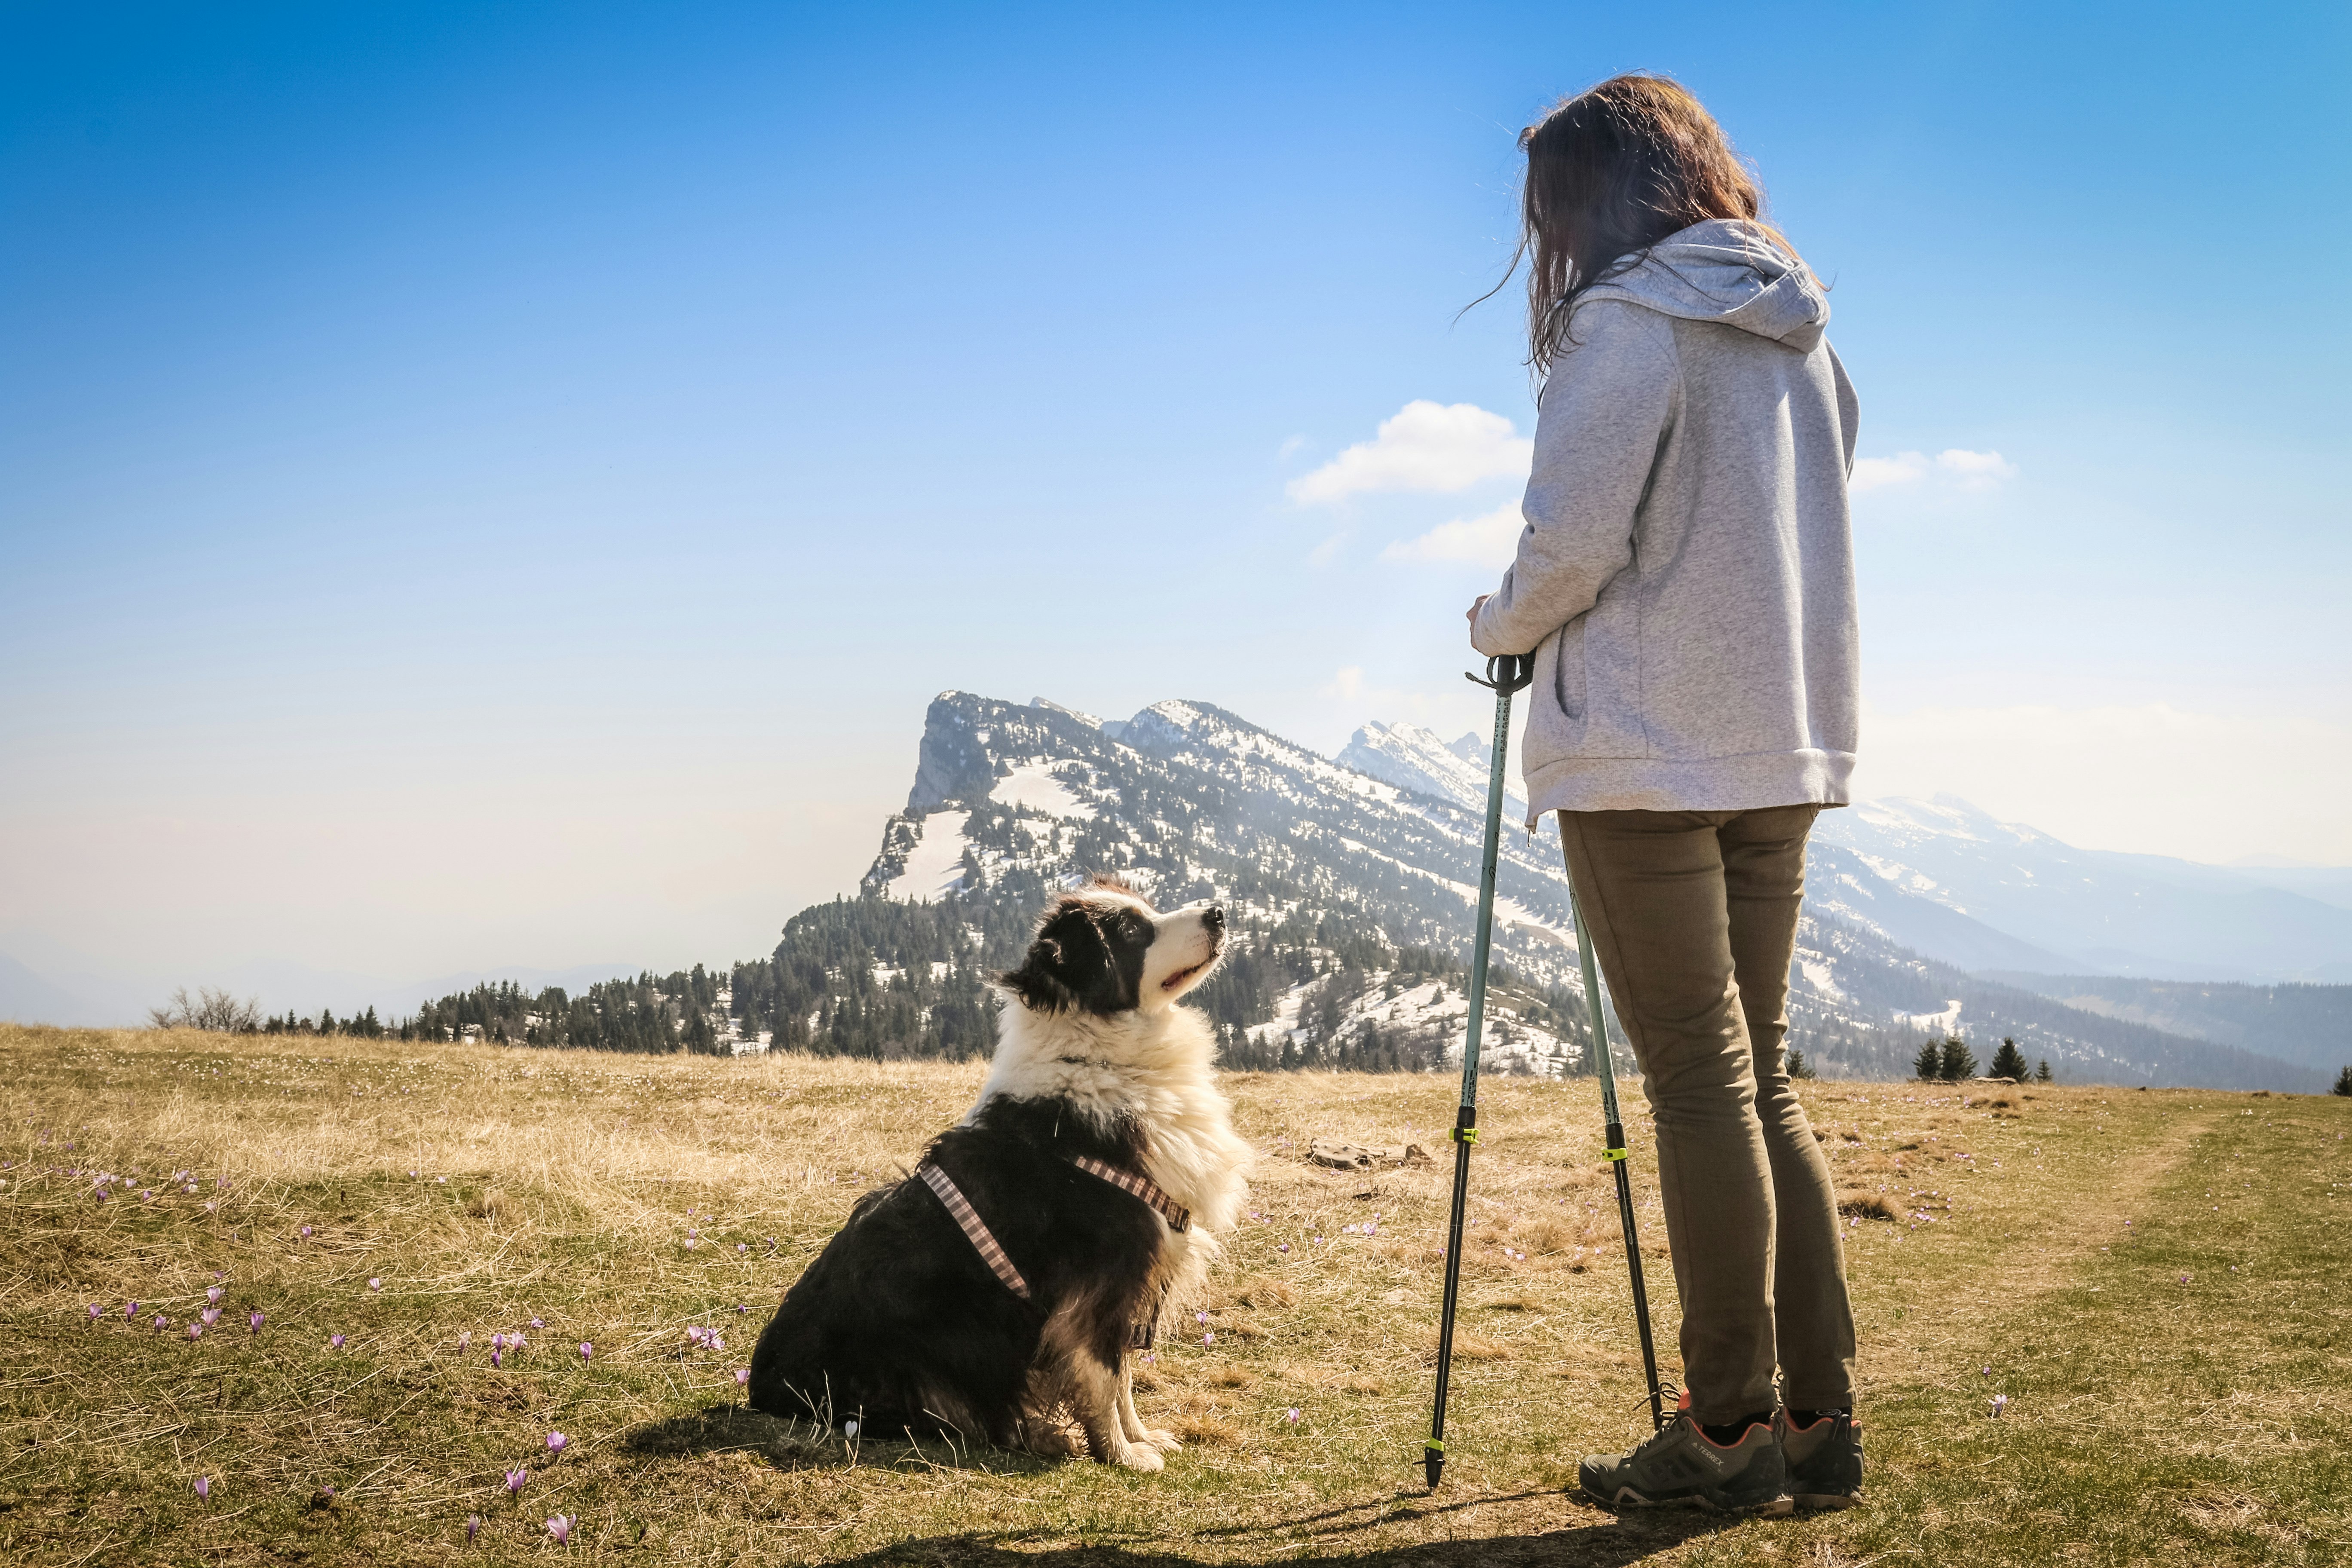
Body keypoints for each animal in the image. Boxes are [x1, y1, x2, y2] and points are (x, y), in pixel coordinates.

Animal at [748, 879, 1251, 1467]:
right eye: (1132, 931)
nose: (1219, 913)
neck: (1097, 1060)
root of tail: (761, 1385)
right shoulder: (1106, 1274)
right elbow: (1104, 1373)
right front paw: (1121, 1454)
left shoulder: (1136, 1274)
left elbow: (1124, 1374)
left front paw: (1141, 1436)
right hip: (926, 1356)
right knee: (962, 1414)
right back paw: (1041, 1433)